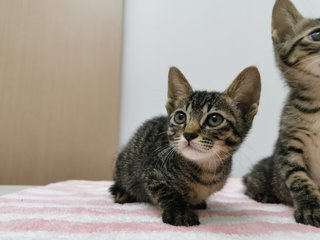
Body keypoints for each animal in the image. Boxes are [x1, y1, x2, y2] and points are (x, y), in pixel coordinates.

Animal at [110, 66, 260, 227]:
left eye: (214, 119)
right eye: (180, 117)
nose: (189, 134)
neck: (205, 168)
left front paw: (194, 203)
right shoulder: (153, 174)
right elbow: (167, 192)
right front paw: (179, 212)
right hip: (122, 164)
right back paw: (122, 193)